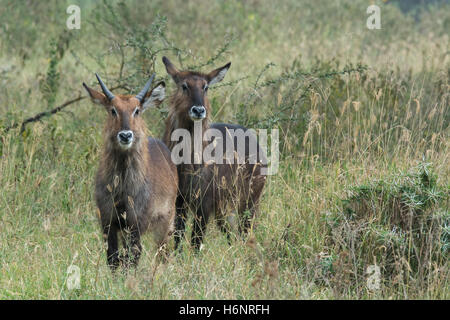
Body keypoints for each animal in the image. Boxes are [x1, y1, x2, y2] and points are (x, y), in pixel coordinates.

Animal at [84, 74, 178, 272]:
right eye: (113, 110)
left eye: (137, 110)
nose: (126, 135)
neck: (123, 189)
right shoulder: (108, 220)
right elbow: (112, 257)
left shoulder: (136, 223)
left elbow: (132, 257)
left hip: (166, 223)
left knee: (163, 254)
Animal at [162, 58, 268, 252]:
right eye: (184, 85)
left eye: (205, 87)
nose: (198, 110)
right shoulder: (179, 201)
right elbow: (178, 236)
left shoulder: (205, 202)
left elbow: (196, 240)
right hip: (224, 208)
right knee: (232, 233)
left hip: (249, 201)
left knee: (245, 231)